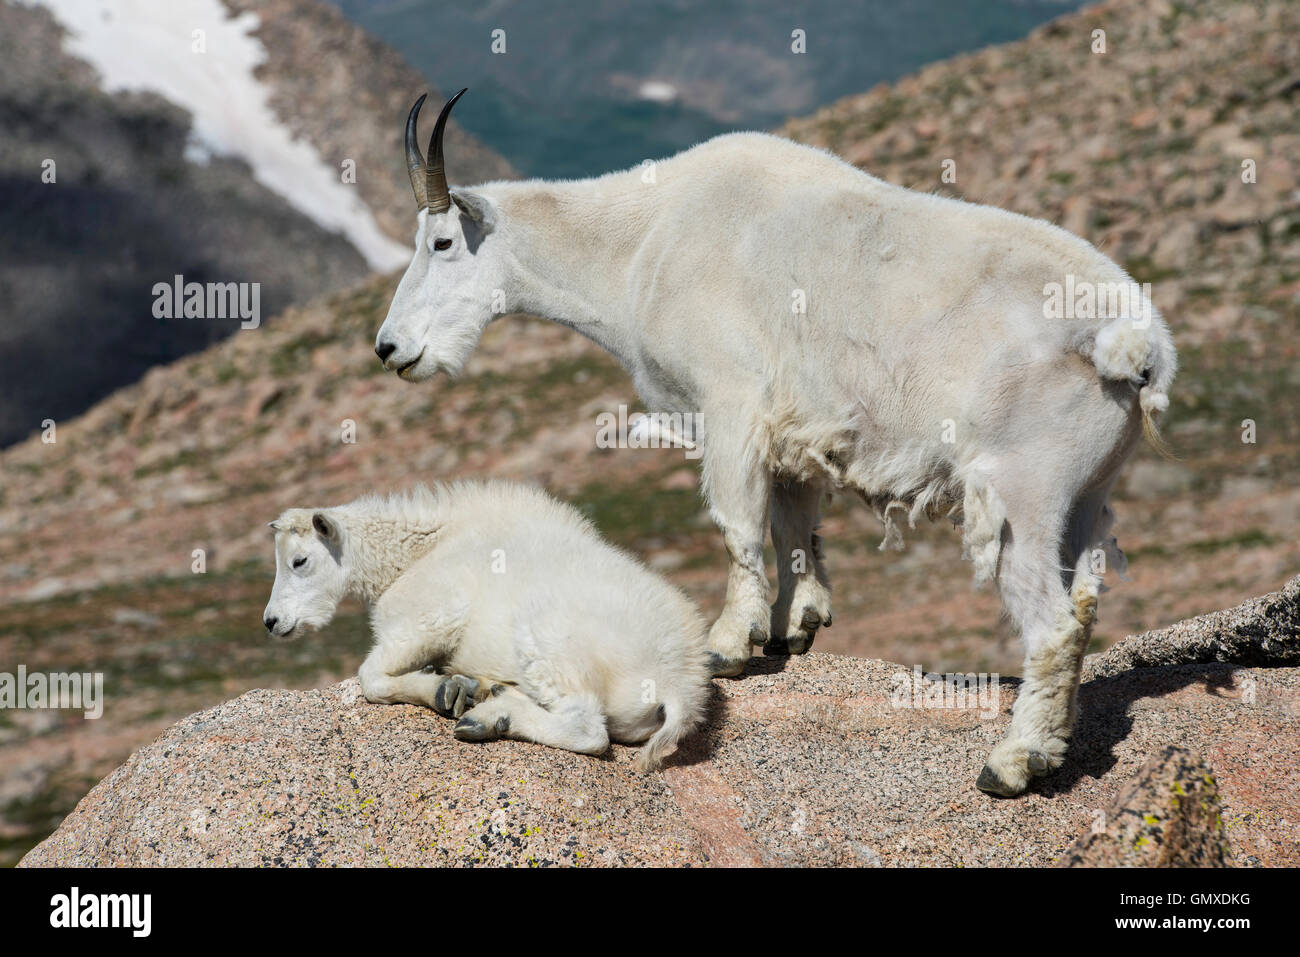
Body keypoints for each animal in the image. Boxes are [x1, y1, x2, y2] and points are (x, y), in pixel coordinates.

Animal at [379, 89, 1180, 795]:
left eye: (442, 242)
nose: (391, 349)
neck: (641, 241)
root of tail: (1133, 343)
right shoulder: (796, 430)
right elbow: (795, 522)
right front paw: (795, 627)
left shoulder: (730, 404)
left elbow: (738, 522)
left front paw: (729, 643)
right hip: (1086, 493)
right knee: (1082, 606)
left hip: (1022, 488)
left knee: (1050, 624)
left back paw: (1012, 764)